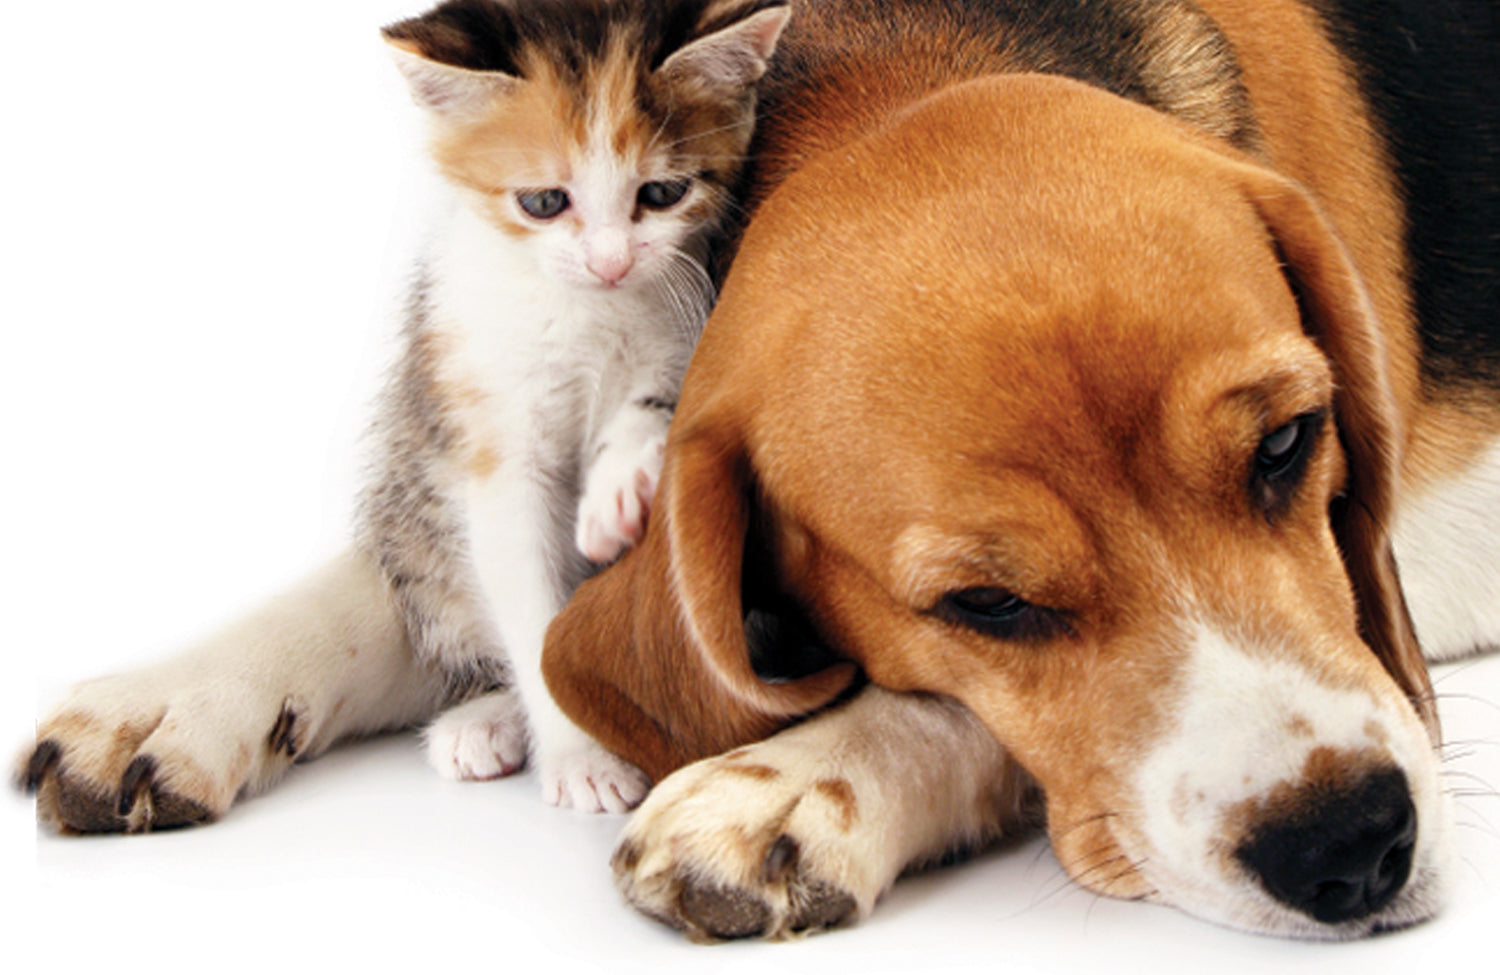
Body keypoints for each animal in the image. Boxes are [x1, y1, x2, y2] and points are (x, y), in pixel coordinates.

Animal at [369, 0, 792, 810]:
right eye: (543, 202)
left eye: (661, 193)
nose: (611, 262)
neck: (586, 309)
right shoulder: (493, 428)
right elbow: (528, 600)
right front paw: (581, 759)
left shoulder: (689, 332)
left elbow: (657, 410)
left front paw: (616, 493)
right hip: (413, 528)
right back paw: (484, 723)